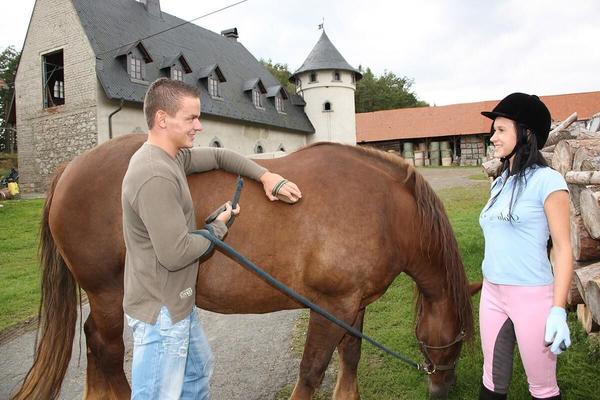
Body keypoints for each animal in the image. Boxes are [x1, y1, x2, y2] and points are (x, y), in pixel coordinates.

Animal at [11, 135, 476, 400]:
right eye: (458, 340)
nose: (443, 389)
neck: (382, 209)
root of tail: (69, 169)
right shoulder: (331, 306)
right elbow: (312, 371)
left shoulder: (352, 306)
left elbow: (351, 357)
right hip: (108, 293)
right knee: (106, 349)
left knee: (94, 345)